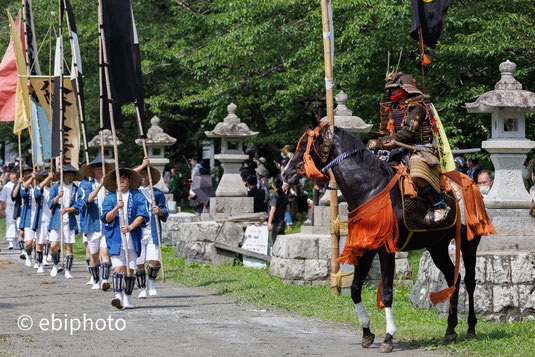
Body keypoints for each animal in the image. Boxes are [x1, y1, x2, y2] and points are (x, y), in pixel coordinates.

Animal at [284, 121, 486, 352]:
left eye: (304, 145)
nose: (285, 173)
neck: (369, 188)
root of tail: (470, 183)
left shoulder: (386, 249)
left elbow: (387, 293)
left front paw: (389, 337)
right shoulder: (365, 248)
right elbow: (355, 289)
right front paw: (366, 332)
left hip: (469, 243)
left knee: (469, 280)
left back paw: (470, 328)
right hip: (437, 245)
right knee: (454, 277)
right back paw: (450, 329)